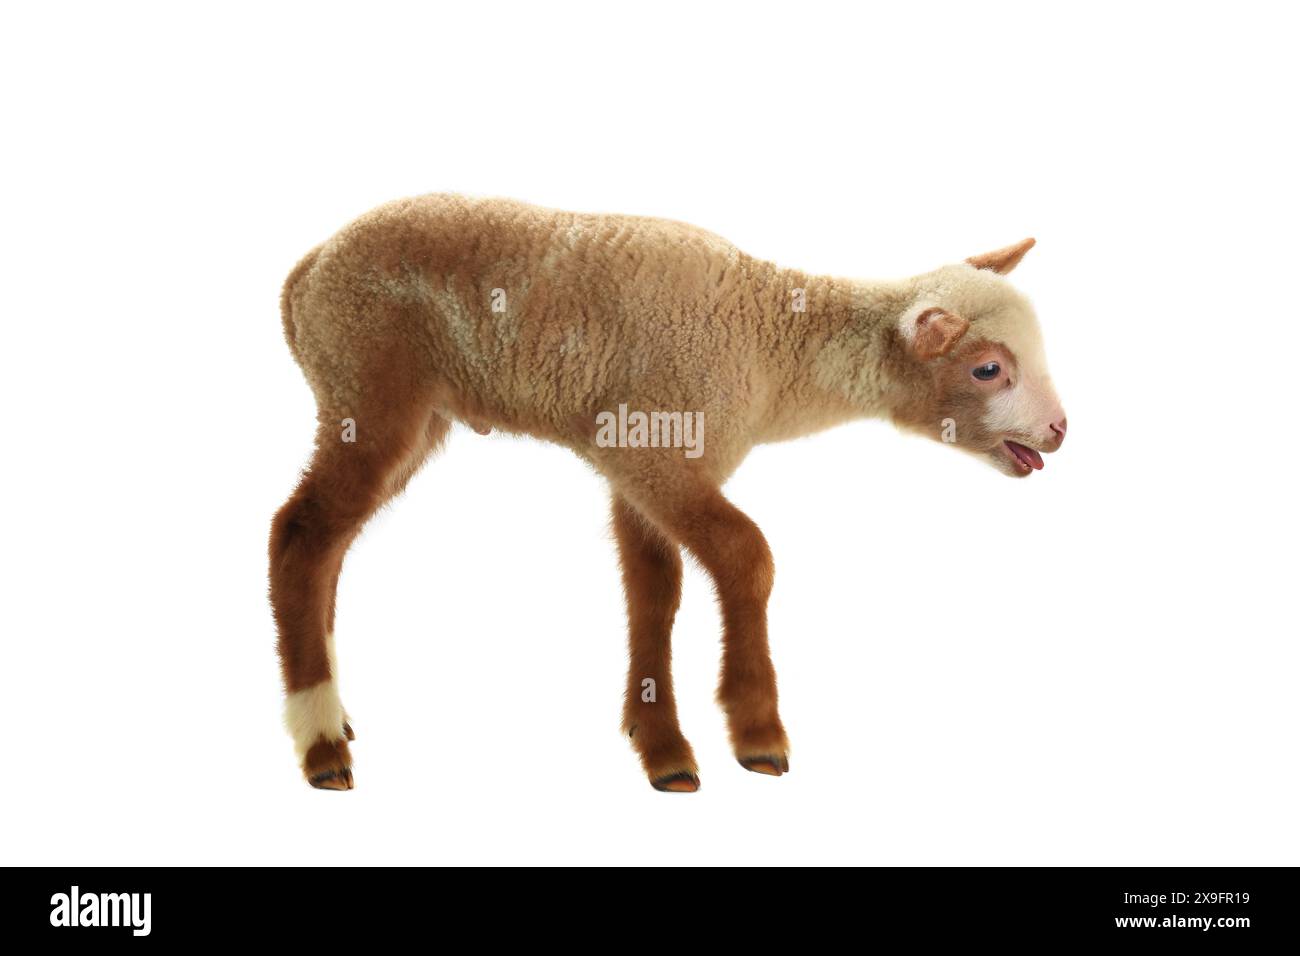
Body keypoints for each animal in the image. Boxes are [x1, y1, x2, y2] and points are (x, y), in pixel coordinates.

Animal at [271, 194, 1067, 792]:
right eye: (988, 369)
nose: (1060, 430)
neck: (770, 347)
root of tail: (306, 272)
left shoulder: (642, 470)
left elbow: (653, 591)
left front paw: (662, 748)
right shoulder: (654, 448)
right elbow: (748, 556)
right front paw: (756, 732)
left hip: (405, 407)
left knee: (333, 544)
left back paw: (336, 711)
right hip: (365, 380)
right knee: (300, 533)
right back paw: (320, 743)